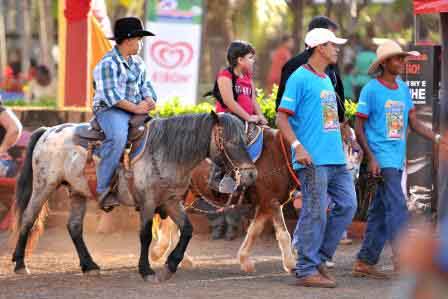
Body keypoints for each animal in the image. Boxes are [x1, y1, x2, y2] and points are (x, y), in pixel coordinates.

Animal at [10, 113, 256, 284]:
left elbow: (187, 230)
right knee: (28, 219)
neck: (166, 152)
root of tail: (47, 130)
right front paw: (146, 270)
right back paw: (20, 264)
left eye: (245, 140)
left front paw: (170, 265)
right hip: (44, 186)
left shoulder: (171, 201)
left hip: (77, 192)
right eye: (231, 142)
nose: (251, 175)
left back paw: (90, 265)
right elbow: (145, 235)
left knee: (74, 227)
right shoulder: (147, 202)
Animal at [151, 127, 300, 274]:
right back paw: (161, 253)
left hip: (188, 196)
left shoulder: (265, 204)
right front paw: (291, 264)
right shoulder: (272, 202)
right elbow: (283, 234)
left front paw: (245, 260)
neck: (278, 153)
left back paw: (179, 258)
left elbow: (254, 230)